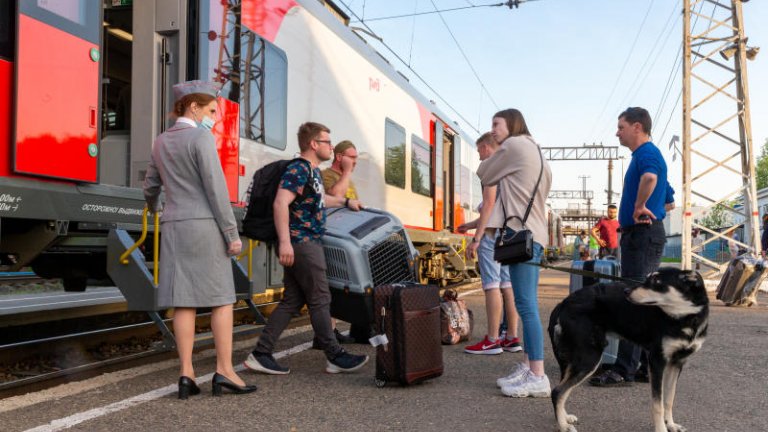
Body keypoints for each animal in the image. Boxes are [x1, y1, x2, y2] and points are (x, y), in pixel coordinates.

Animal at [544, 266, 708, 432]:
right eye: (648, 278)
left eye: (656, 281)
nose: (626, 291)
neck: (686, 318)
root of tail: (563, 303)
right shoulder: (657, 362)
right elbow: (658, 404)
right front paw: (661, 428)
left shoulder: (677, 363)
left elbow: (669, 399)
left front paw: (671, 424)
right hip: (589, 358)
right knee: (557, 391)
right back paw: (563, 426)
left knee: (562, 390)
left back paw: (564, 417)